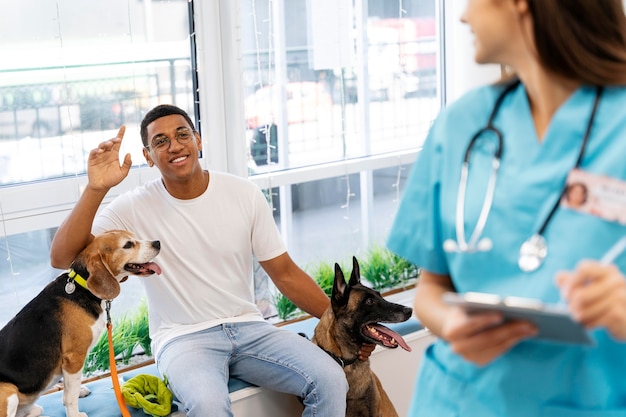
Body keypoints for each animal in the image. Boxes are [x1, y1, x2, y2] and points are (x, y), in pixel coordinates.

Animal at [0, 231, 163, 416]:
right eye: (128, 245)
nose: (157, 243)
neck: (82, 286)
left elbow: (73, 386)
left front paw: (80, 390)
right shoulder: (74, 357)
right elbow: (69, 396)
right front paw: (74, 413)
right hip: (10, 393)